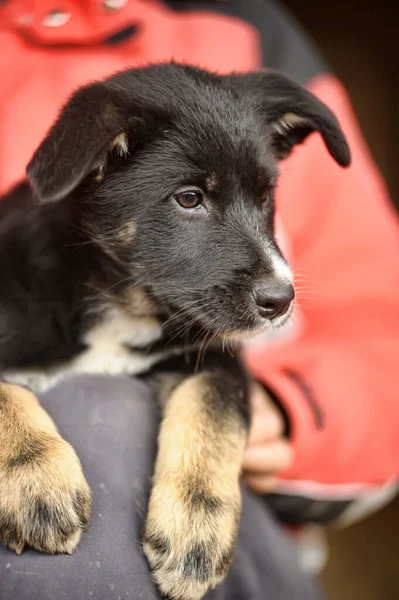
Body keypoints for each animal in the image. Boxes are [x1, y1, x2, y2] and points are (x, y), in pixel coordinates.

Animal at [0, 64, 350, 600]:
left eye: (265, 197)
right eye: (189, 199)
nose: (281, 301)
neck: (123, 302)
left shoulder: (213, 355)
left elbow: (216, 411)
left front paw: (195, 526)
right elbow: (5, 397)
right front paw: (37, 479)